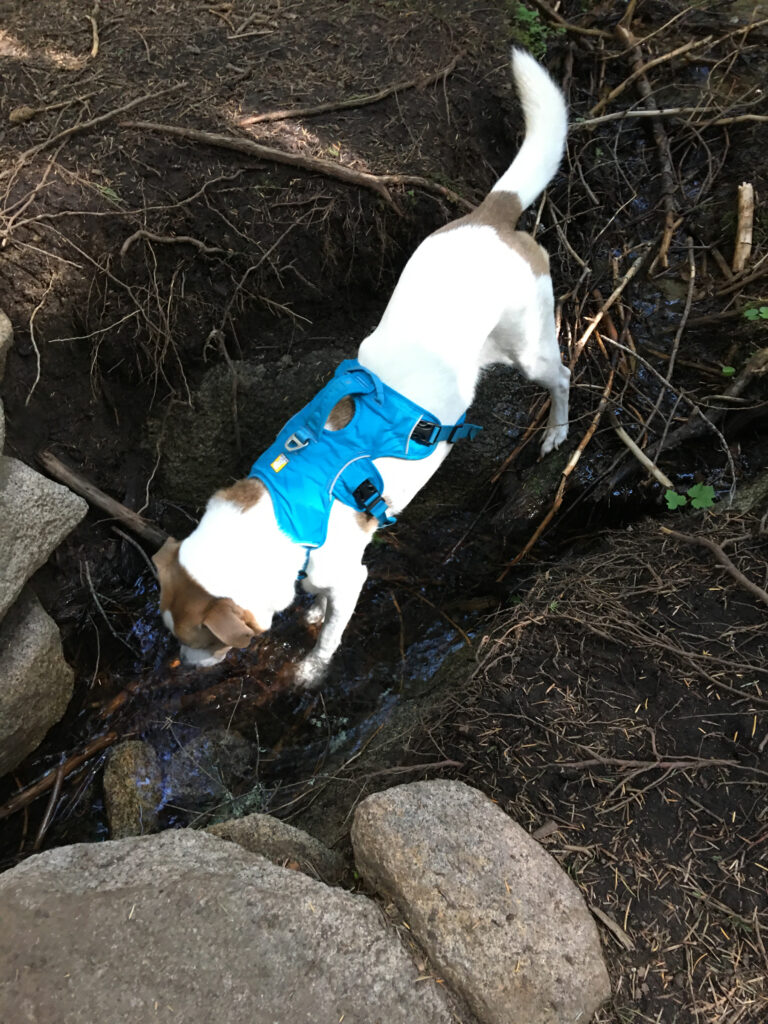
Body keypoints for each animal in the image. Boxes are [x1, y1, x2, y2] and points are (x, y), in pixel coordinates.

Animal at [153, 48, 569, 688]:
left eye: (200, 641)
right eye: (170, 631)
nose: (183, 671)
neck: (282, 511)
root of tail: (490, 216)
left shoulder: (350, 578)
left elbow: (330, 630)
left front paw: (310, 669)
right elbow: (315, 605)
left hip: (532, 349)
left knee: (564, 379)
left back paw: (557, 433)